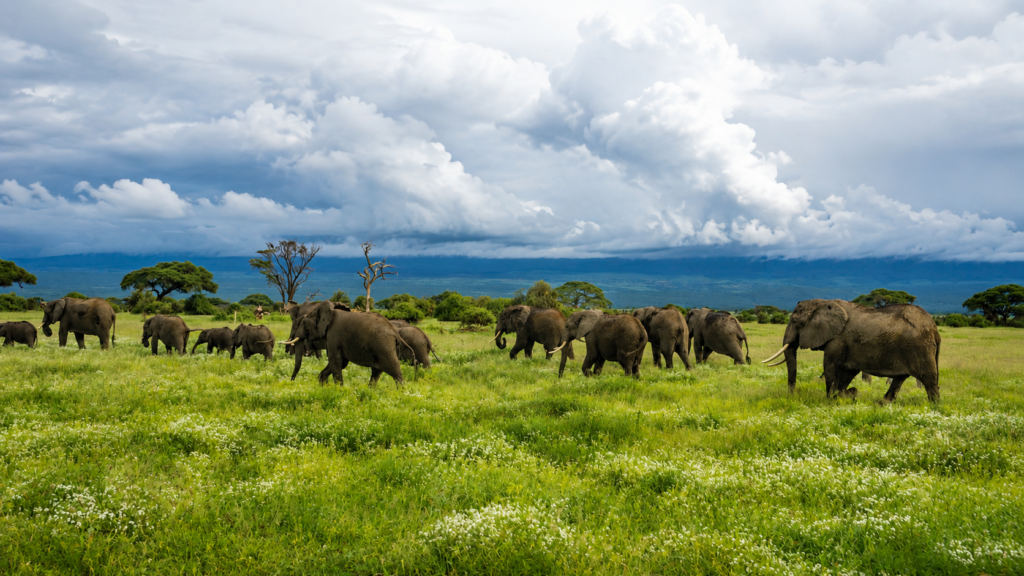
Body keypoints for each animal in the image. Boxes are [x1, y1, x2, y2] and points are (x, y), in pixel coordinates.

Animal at [763, 299, 941, 403]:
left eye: (795, 322)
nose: (791, 396)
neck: (821, 303)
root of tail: (934, 328)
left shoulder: (838, 340)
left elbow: (830, 366)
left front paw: (831, 400)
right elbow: (848, 371)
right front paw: (846, 395)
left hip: (920, 347)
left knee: (929, 378)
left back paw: (934, 406)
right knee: (900, 378)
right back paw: (882, 404)